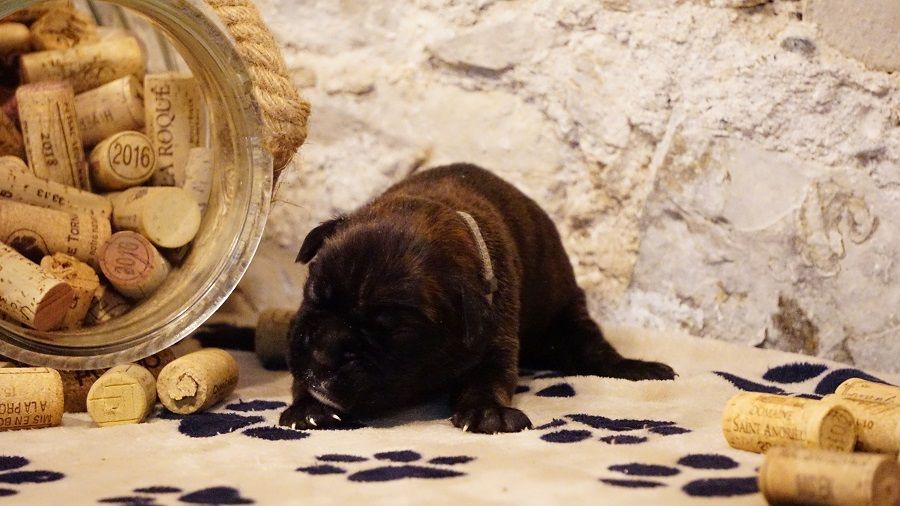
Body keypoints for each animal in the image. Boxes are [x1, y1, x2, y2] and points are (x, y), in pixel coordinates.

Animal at [279, 164, 675, 433]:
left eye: (393, 331)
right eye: (313, 292)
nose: (324, 354)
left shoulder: (496, 339)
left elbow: (488, 378)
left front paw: (487, 412)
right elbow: (302, 379)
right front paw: (309, 408)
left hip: (567, 316)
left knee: (593, 349)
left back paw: (638, 368)